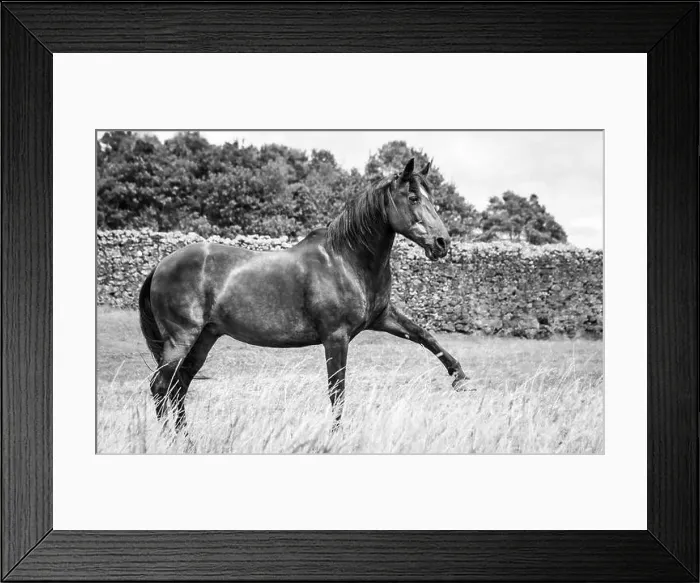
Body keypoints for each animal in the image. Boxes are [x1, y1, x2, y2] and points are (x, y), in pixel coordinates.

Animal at [139, 157, 469, 434]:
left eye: (431, 199)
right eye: (413, 198)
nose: (442, 243)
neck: (345, 260)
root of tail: (161, 265)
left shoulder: (382, 317)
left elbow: (424, 335)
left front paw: (460, 377)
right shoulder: (336, 337)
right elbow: (337, 392)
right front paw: (335, 438)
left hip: (204, 338)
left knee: (178, 385)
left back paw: (187, 439)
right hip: (181, 338)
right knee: (161, 386)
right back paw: (171, 439)